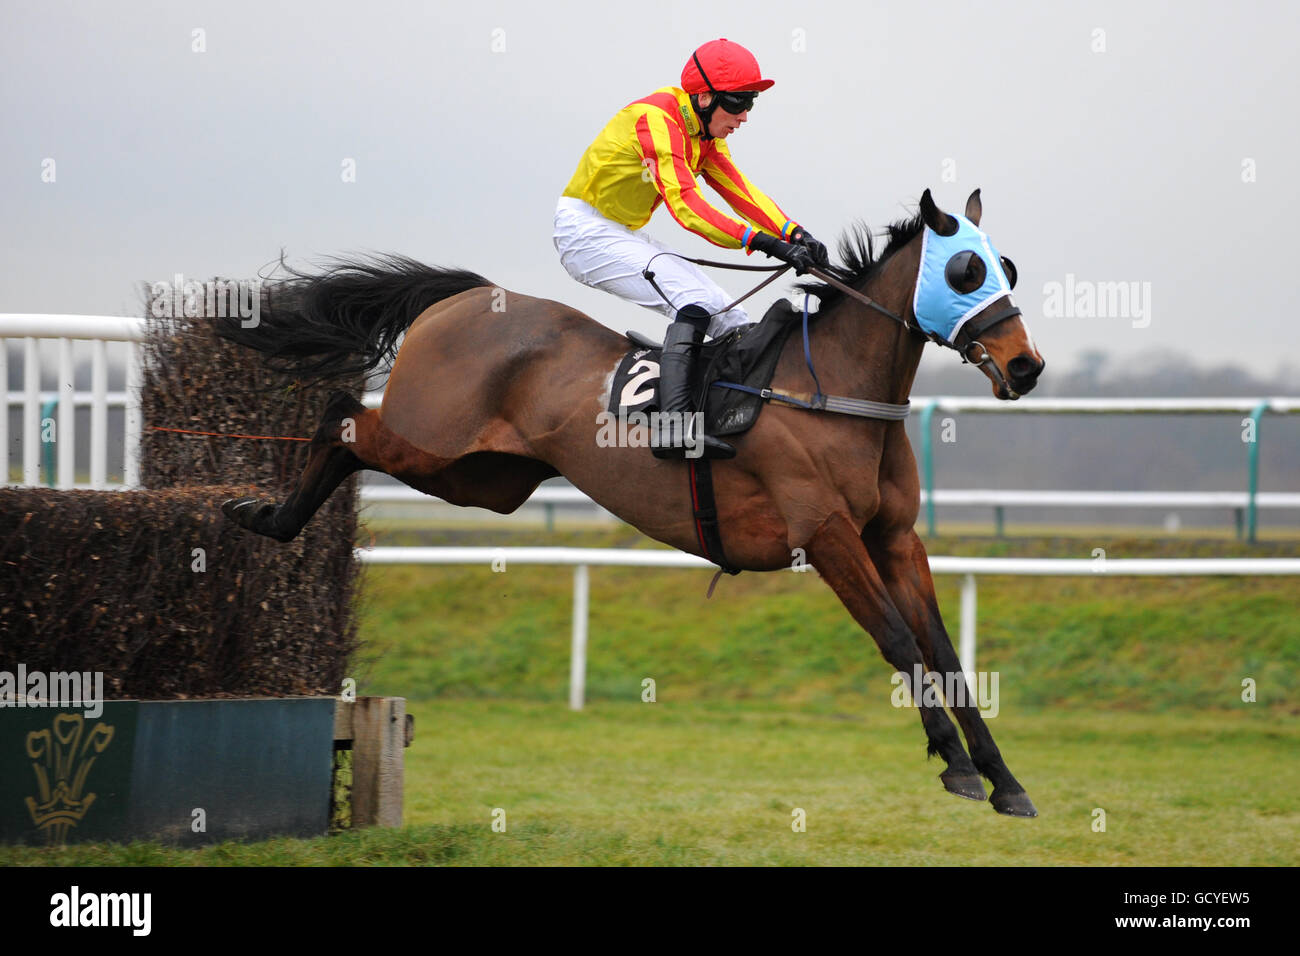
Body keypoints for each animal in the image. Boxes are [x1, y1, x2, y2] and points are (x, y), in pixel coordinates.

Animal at [213, 191, 1045, 816]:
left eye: (1004, 264)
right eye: (966, 269)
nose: (1025, 366)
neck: (832, 389)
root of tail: (470, 295)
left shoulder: (895, 537)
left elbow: (947, 654)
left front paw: (1005, 780)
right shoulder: (827, 533)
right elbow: (899, 643)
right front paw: (955, 765)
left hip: (483, 479)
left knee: (357, 433)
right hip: (431, 440)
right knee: (339, 418)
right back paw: (264, 516)